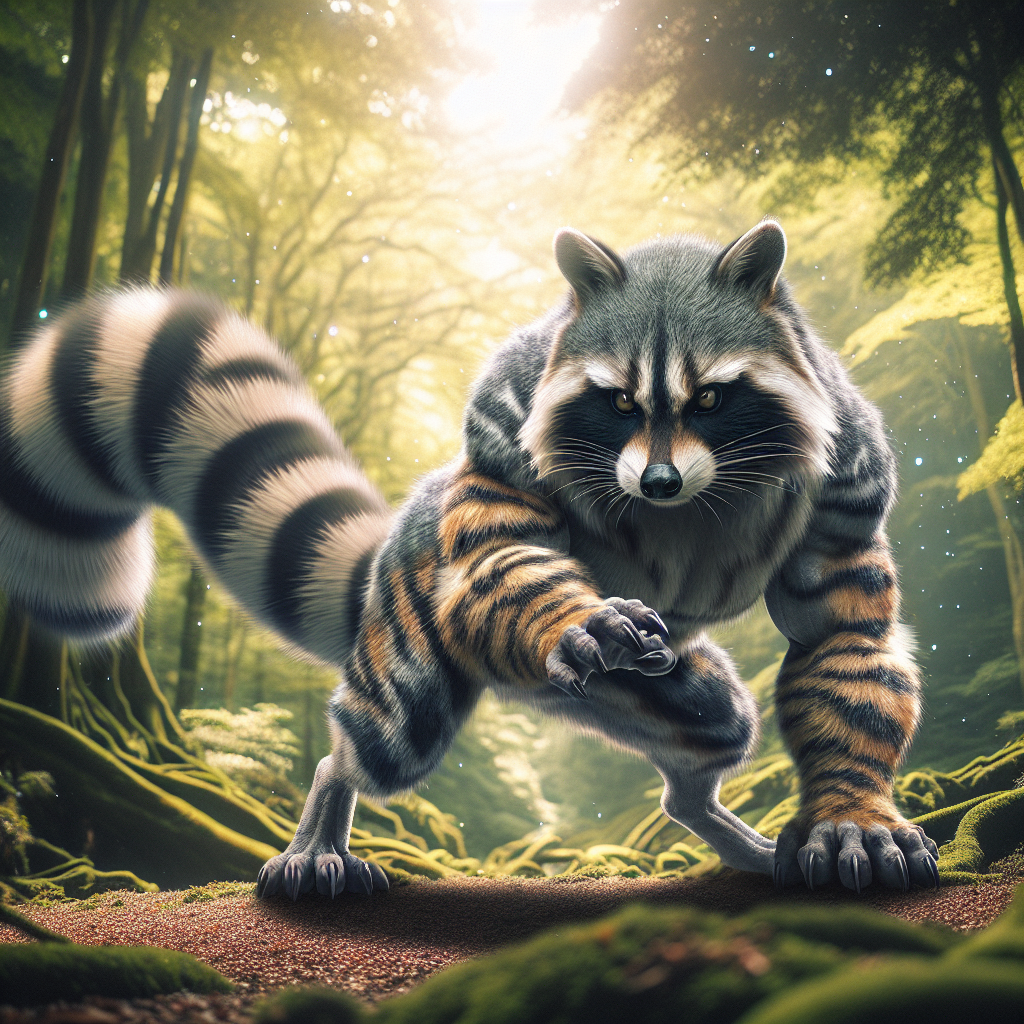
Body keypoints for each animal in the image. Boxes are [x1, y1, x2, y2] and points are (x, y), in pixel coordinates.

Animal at [0, 218, 939, 898]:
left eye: (711, 397)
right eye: (619, 402)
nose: (660, 480)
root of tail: (404, 536)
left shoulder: (847, 473)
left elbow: (840, 640)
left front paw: (849, 812)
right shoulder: (505, 417)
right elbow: (506, 549)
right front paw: (575, 608)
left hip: (648, 681)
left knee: (714, 721)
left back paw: (716, 820)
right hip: (428, 641)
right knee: (379, 736)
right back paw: (324, 815)